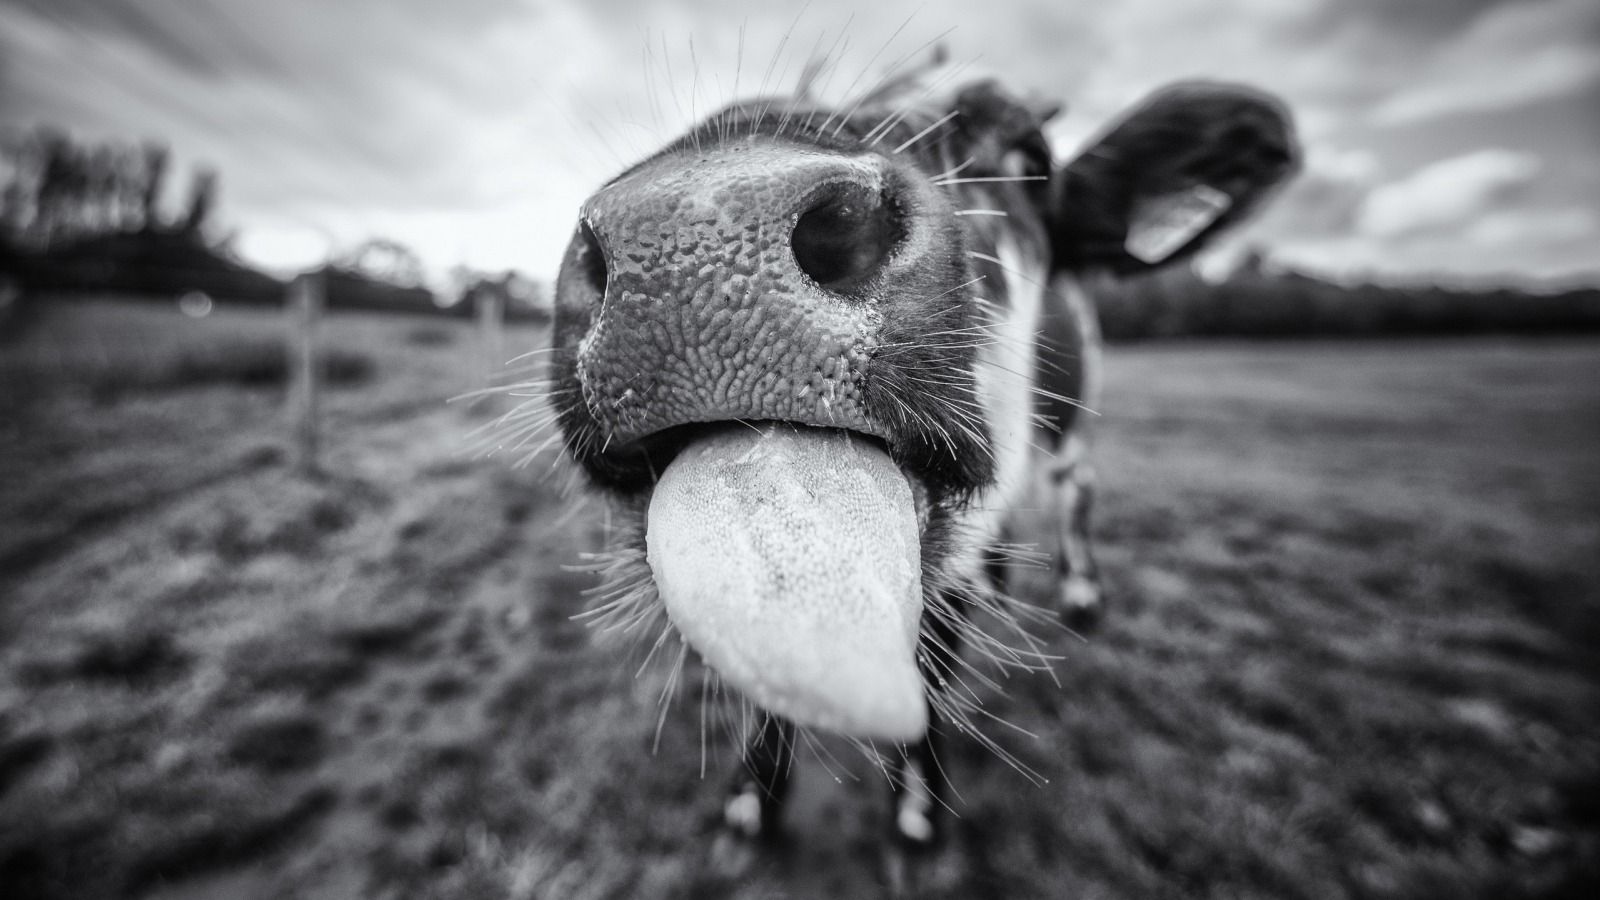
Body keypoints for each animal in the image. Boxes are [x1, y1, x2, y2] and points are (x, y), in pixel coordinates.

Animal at [530, 49, 1297, 881]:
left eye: (1028, 155)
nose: (698, 226)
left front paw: (917, 818)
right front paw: (751, 805)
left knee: (1074, 487)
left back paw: (1081, 592)